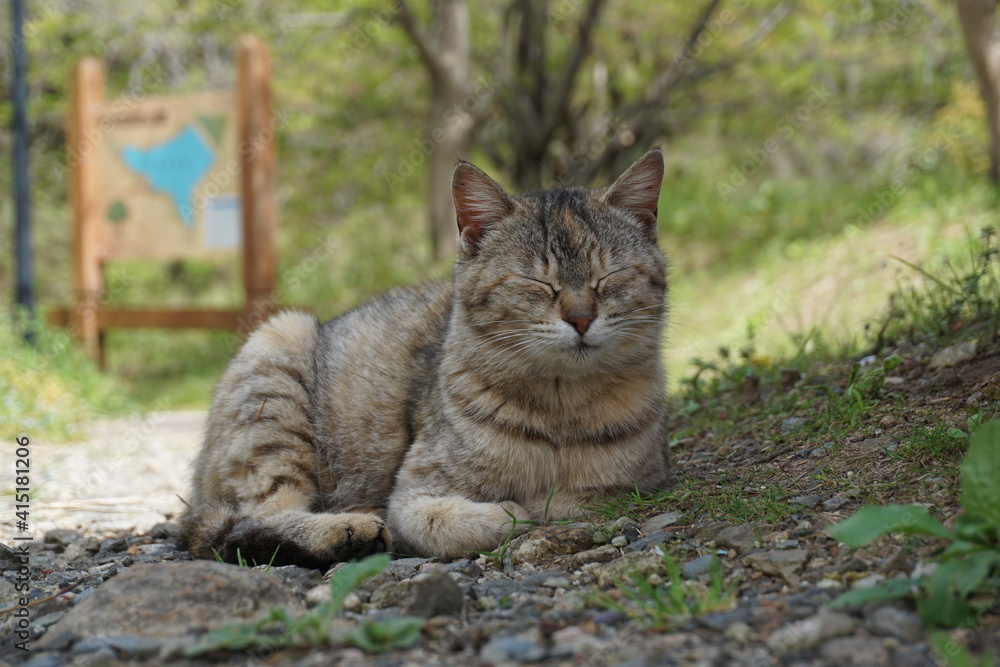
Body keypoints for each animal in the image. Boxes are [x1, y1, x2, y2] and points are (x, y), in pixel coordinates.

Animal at [184, 150, 676, 568]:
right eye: (536, 283)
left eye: (608, 277)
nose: (580, 318)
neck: (561, 408)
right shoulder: (413, 493)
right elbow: (457, 520)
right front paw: (511, 509)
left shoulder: (640, 480)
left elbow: (576, 500)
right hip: (280, 349)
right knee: (250, 519)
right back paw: (345, 530)